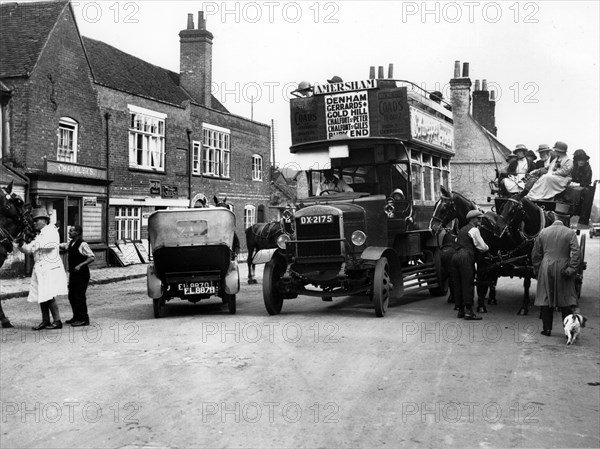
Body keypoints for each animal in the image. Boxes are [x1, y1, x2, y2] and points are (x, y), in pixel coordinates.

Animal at [432, 186, 540, 316]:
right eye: (435, 206)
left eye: (444, 207)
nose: (432, 227)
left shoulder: (481, 258)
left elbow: (479, 279)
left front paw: (481, 306)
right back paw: (491, 299)